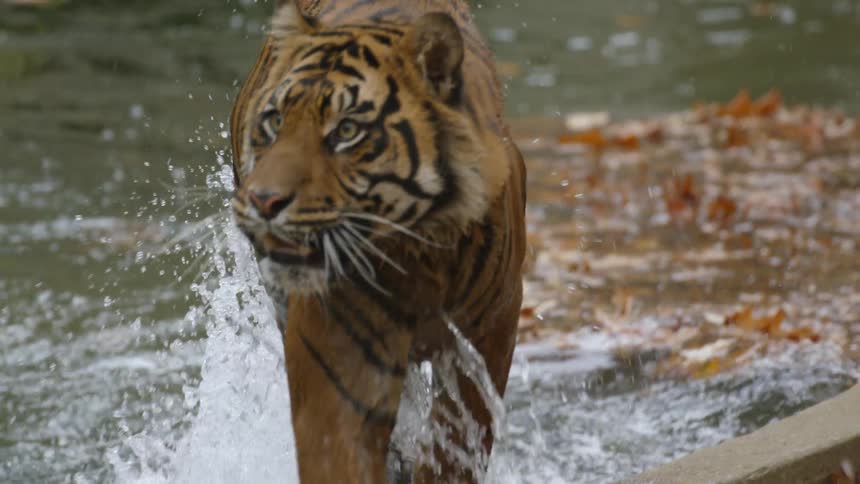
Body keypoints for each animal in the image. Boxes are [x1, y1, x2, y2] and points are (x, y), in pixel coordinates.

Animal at [229, 0, 526, 482]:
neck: (419, 249)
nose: (263, 200)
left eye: (347, 131)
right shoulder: (337, 353)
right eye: (275, 121)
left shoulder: (492, 325)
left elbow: (456, 442)